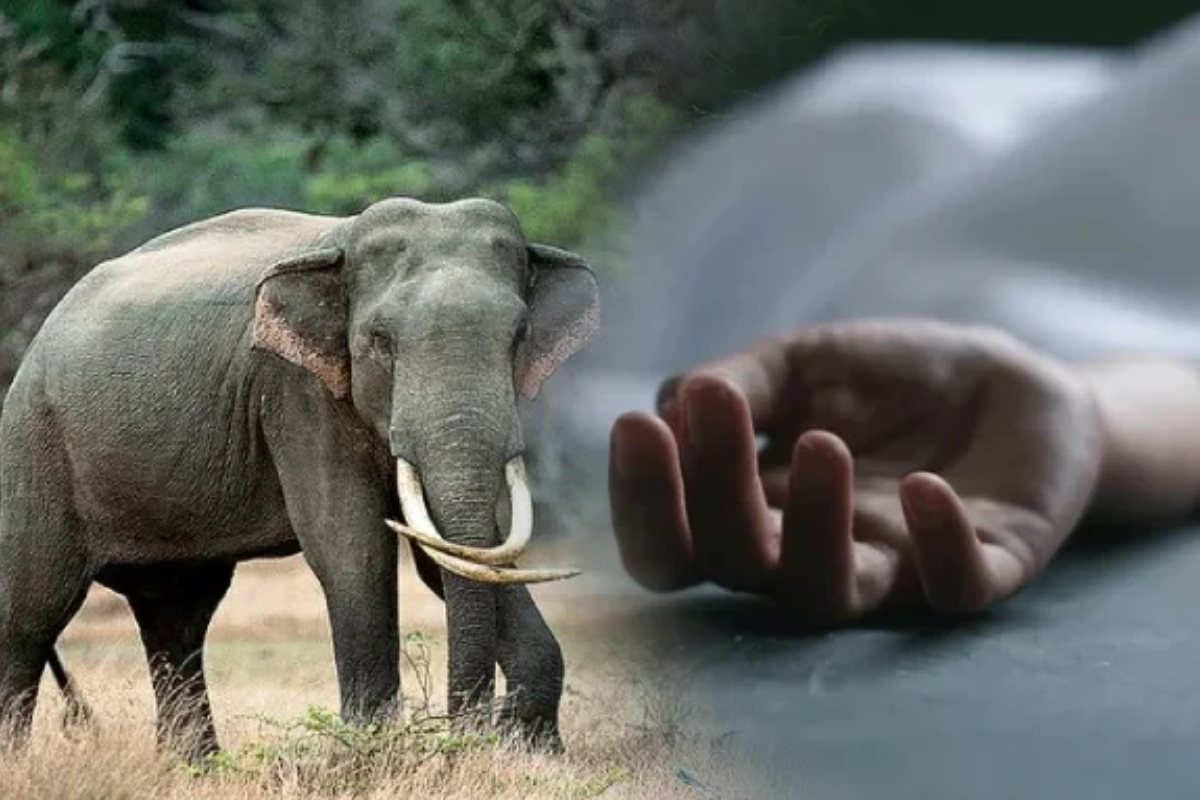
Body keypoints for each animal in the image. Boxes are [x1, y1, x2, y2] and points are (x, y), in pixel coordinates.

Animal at [0, 196, 599, 758]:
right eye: (380, 340)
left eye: (519, 336)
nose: (467, 735)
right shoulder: (296, 390)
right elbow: (351, 546)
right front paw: (371, 752)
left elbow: (453, 552)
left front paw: (535, 753)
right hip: (34, 445)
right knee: (29, 618)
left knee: (176, 618)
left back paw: (196, 768)